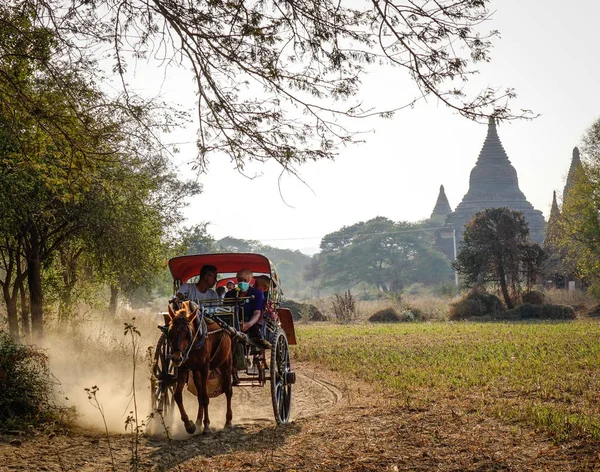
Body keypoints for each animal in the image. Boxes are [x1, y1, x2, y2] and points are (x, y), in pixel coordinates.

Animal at [169, 300, 237, 434]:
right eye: (171, 332)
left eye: (187, 333)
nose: (176, 358)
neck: (195, 342)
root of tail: (227, 329)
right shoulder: (184, 368)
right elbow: (178, 395)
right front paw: (189, 425)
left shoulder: (204, 368)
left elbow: (205, 397)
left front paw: (207, 425)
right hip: (195, 371)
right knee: (199, 393)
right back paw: (198, 421)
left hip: (226, 362)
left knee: (228, 391)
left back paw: (228, 421)